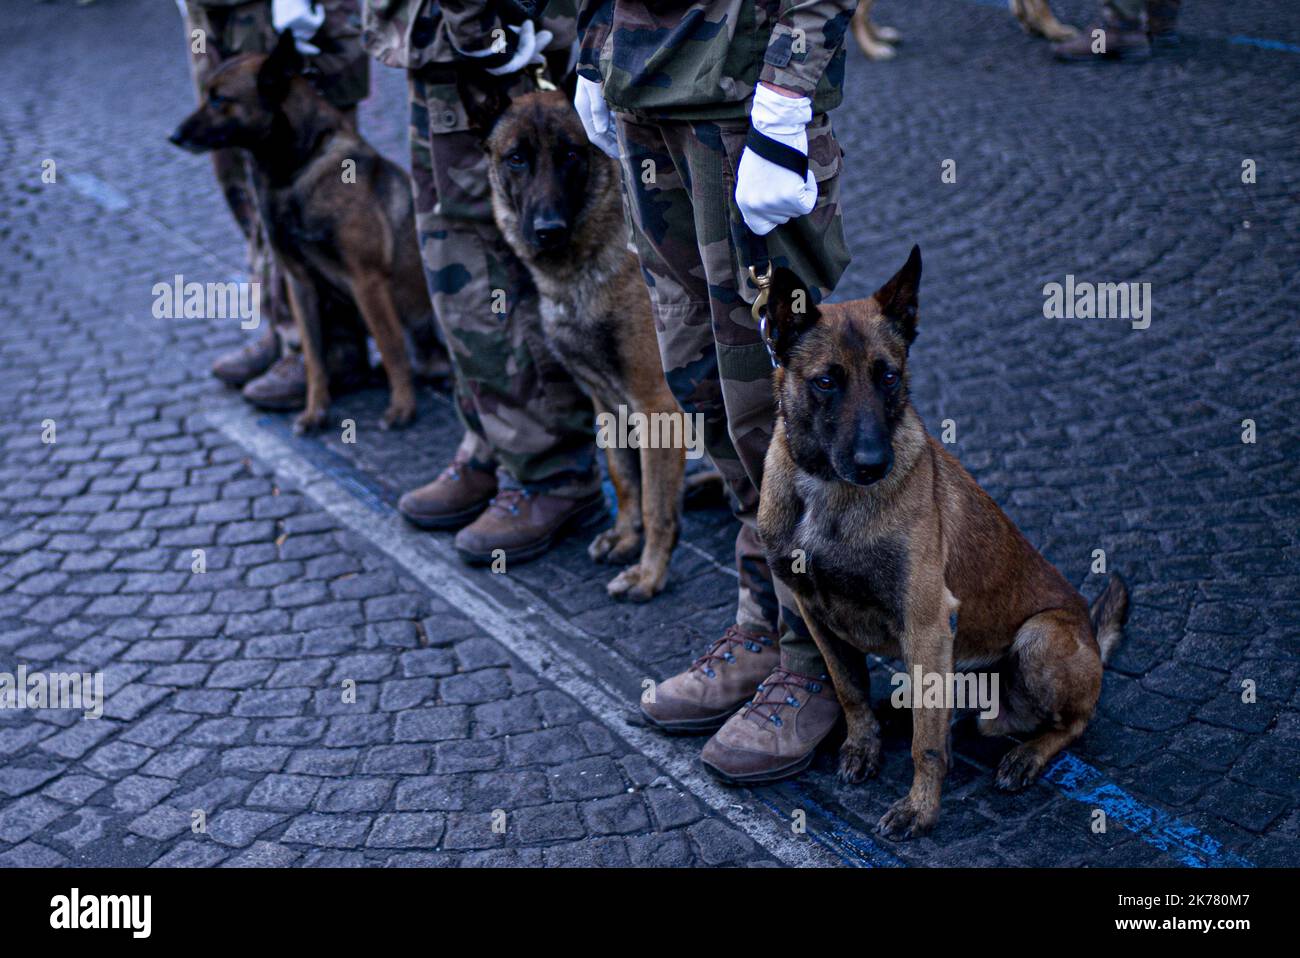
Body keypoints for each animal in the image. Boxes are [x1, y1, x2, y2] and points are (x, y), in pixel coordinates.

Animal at [170, 30, 444, 434]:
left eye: (220, 99)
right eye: (206, 94)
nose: (173, 136)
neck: (295, 170)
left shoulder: (367, 281)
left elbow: (390, 343)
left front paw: (402, 408)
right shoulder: (300, 283)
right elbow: (314, 357)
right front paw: (316, 411)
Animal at [486, 89, 686, 597]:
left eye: (572, 155)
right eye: (517, 159)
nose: (548, 230)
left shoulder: (658, 408)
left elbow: (656, 502)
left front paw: (649, 573)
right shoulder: (606, 401)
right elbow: (624, 476)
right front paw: (625, 537)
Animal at [759, 244, 1128, 837]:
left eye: (888, 377)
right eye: (826, 382)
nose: (873, 464)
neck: (826, 489)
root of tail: (1093, 637)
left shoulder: (928, 622)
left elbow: (927, 745)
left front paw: (921, 808)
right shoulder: (816, 615)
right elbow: (849, 689)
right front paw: (863, 745)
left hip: (1039, 638)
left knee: (1073, 722)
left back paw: (1027, 755)